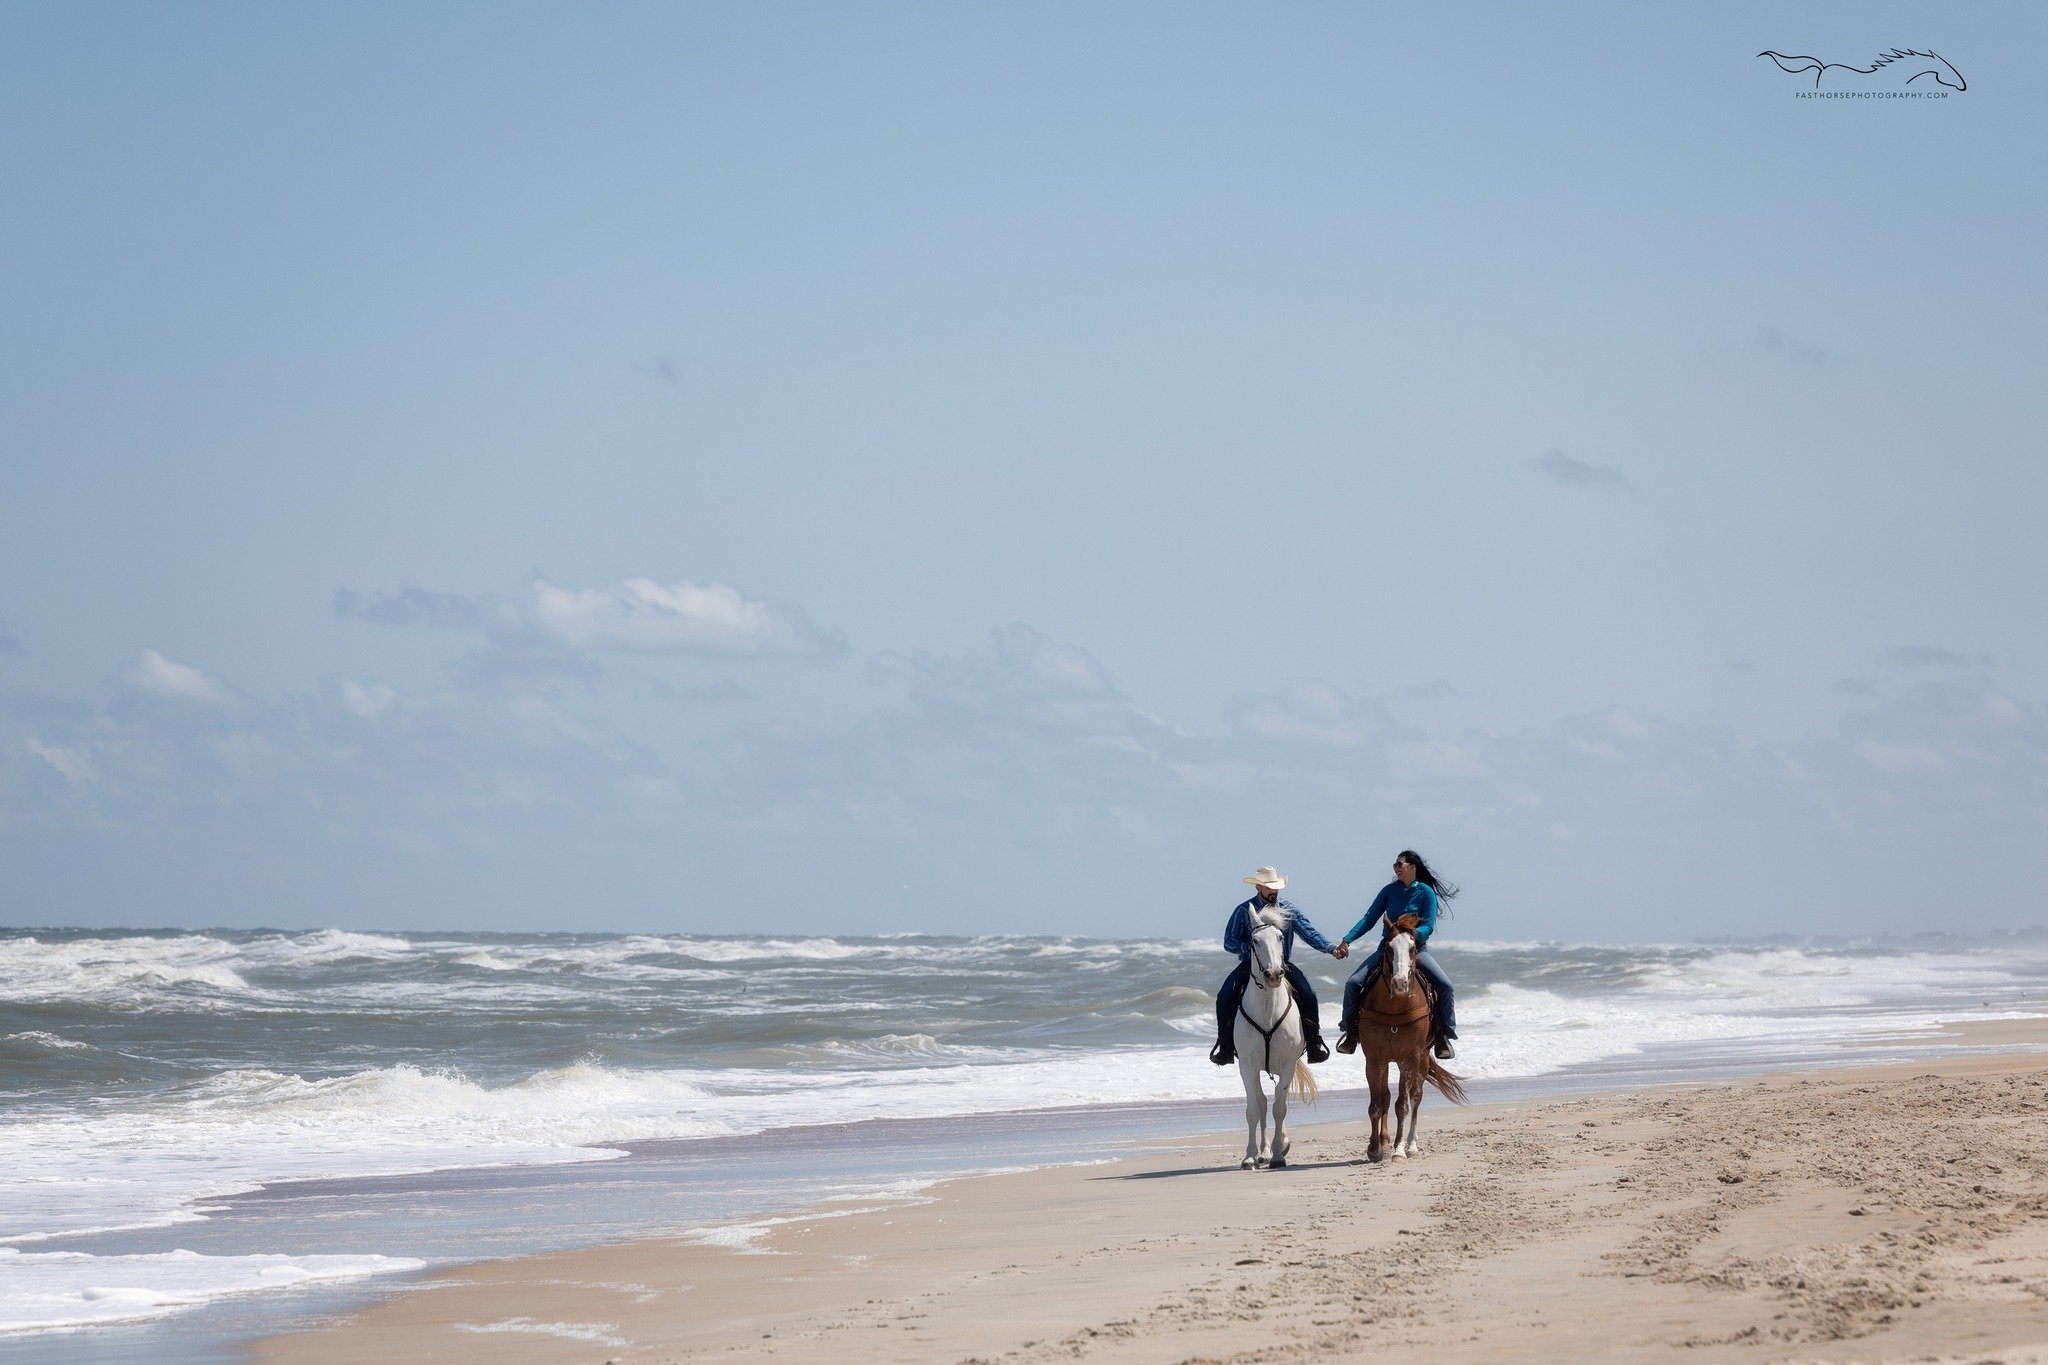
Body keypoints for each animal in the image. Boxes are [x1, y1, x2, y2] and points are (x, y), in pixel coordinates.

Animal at [1228, 912, 1310, 1170]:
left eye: (1280, 937)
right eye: (1254, 941)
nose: (1273, 974)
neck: (1267, 1008)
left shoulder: (1288, 1065)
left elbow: (1280, 1108)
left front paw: (1278, 1154)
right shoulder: (1247, 1066)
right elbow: (1254, 1109)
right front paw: (1250, 1157)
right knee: (1262, 1102)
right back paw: (1262, 1152)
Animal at [1351, 912, 1466, 1162]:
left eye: (1413, 948)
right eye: (1388, 947)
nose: (1400, 983)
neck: (1395, 1007)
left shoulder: (1409, 1057)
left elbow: (1402, 1104)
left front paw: (1399, 1150)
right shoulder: (1374, 1059)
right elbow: (1377, 1103)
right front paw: (1375, 1148)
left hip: (1421, 1059)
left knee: (1416, 1096)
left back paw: (1411, 1145)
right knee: (1385, 1096)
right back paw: (1385, 1143)